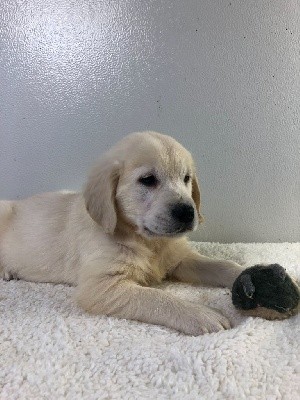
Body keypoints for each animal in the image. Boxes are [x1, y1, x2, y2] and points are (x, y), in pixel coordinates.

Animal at [0, 131, 246, 334]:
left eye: (186, 178)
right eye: (147, 180)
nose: (187, 213)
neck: (148, 242)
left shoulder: (180, 258)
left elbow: (222, 265)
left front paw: (245, 274)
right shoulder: (100, 286)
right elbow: (156, 297)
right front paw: (200, 314)